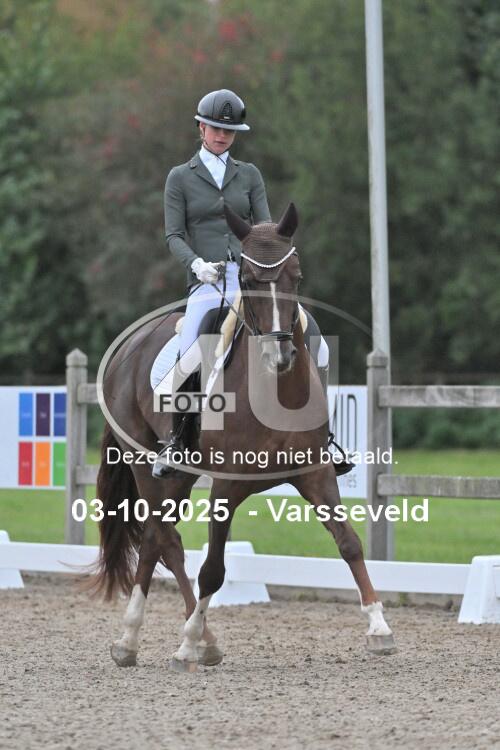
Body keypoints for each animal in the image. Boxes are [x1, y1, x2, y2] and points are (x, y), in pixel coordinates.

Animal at [91, 202, 396, 671]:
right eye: (249, 281)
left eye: (296, 276)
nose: (281, 355)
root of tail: (127, 347)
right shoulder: (226, 487)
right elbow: (213, 570)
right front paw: (186, 644)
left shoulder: (316, 474)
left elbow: (349, 544)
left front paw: (379, 627)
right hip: (145, 465)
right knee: (163, 539)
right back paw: (153, 638)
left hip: (179, 476)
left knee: (159, 540)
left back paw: (173, 641)